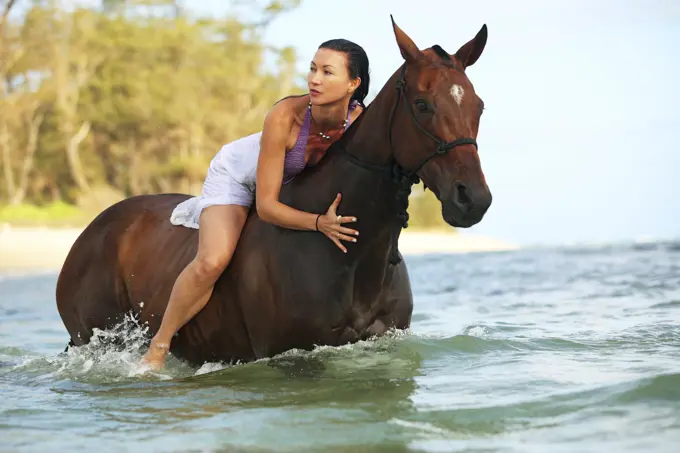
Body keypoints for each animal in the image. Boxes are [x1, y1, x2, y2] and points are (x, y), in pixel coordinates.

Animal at [53, 17, 488, 368]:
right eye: (422, 104)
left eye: (479, 106)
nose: (474, 200)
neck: (352, 259)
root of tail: (93, 229)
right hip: (95, 337)